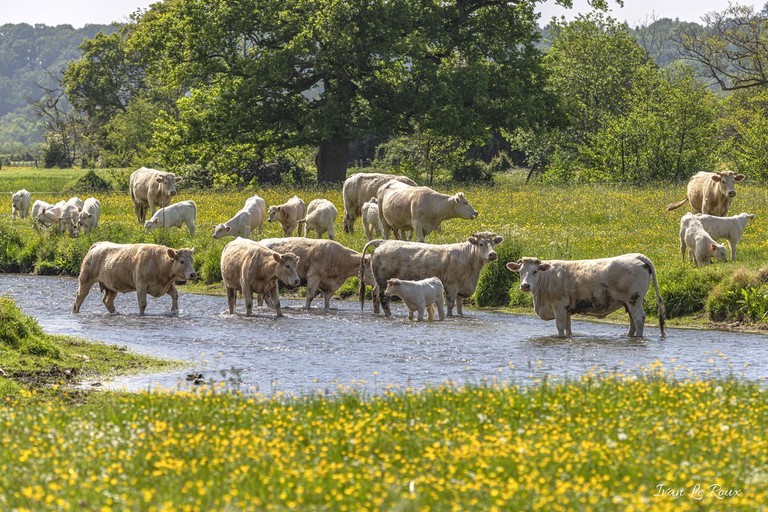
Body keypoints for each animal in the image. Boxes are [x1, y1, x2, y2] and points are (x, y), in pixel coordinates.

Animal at [360, 232, 503, 317]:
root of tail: (383, 242)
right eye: (481, 243)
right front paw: (449, 316)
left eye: (493, 243)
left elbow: (460, 305)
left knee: (375, 294)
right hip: (384, 281)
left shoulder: (462, 287)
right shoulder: (452, 285)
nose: (493, 254)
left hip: (379, 281)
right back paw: (389, 315)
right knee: (384, 298)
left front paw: (460, 316)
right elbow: (450, 304)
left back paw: (377, 313)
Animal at [506, 253, 666, 338]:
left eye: (535, 271)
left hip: (634, 300)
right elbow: (568, 329)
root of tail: (637, 256)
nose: (525, 285)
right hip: (629, 303)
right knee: (632, 320)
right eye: (520, 271)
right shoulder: (567, 309)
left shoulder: (559, 306)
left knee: (639, 319)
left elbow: (560, 328)